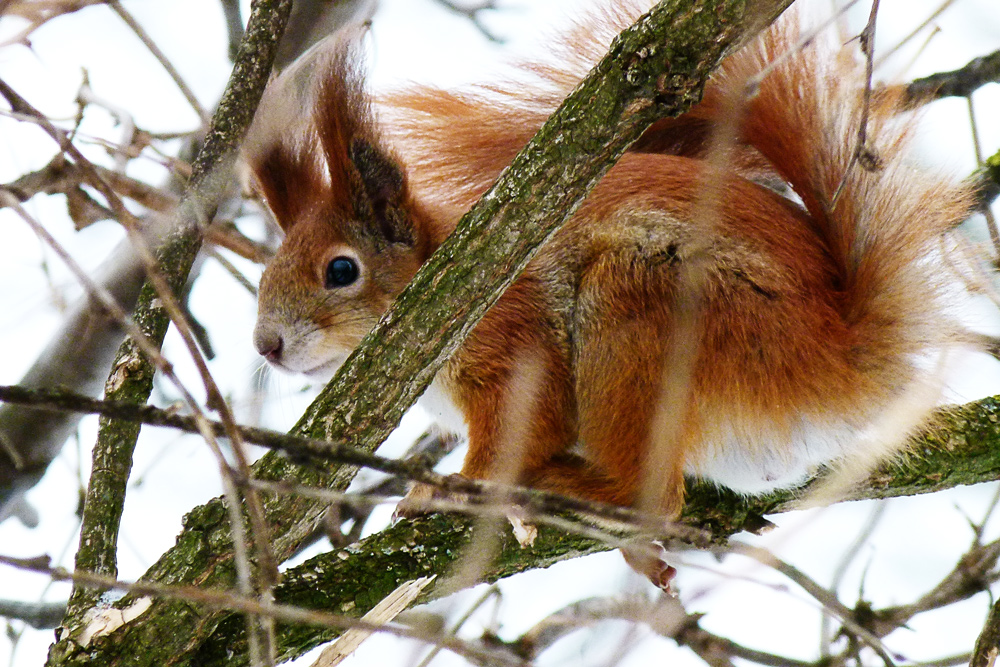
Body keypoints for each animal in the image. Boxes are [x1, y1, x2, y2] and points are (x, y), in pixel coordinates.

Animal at [242, 2, 976, 544]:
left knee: (651, 500)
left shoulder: (514, 342)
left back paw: (559, 487)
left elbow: (519, 428)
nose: (266, 347)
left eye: (342, 270)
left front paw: (439, 491)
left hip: (641, 304)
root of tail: (840, 357)